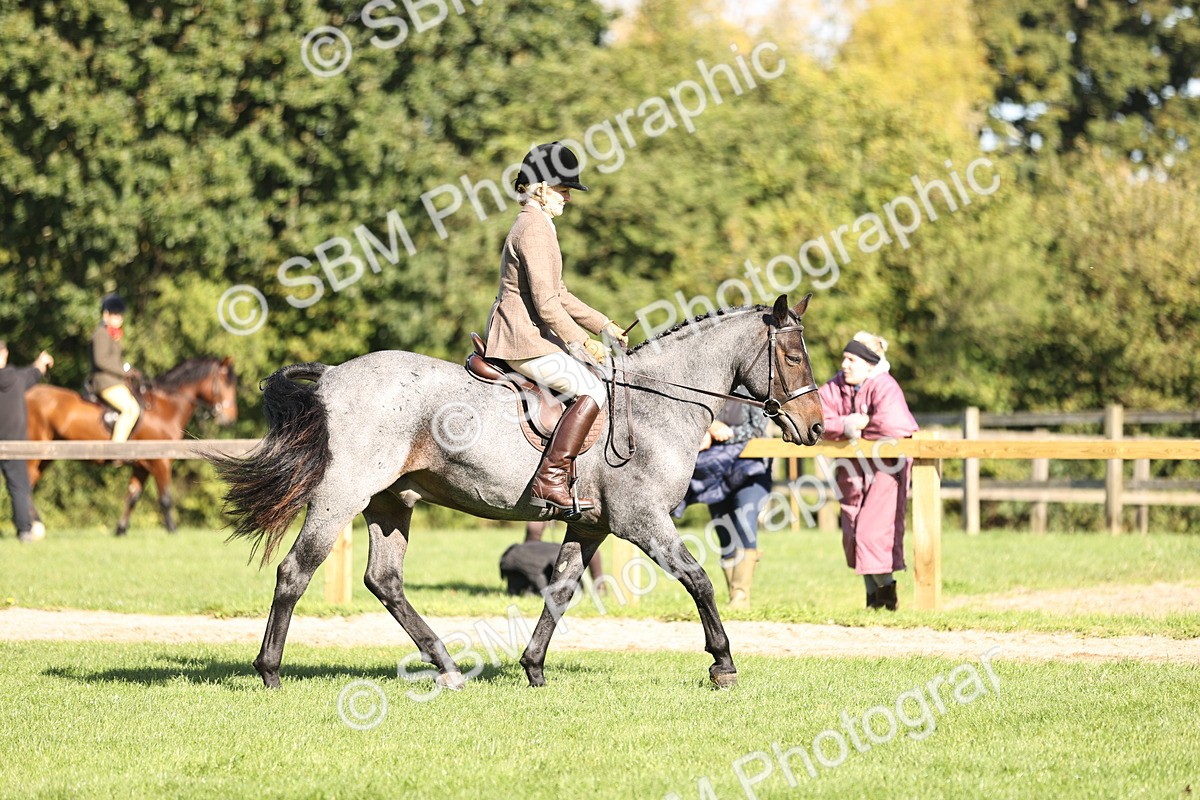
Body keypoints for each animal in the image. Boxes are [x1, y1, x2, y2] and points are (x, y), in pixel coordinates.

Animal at [25, 356, 238, 536]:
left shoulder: (141, 466)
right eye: (226, 383)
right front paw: (172, 531)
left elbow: (133, 497)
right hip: (33, 454)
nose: (230, 419)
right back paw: (34, 527)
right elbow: (165, 499)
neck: (165, 408)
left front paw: (120, 530)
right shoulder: (160, 462)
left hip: (45, 457)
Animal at [213, 295, 824, 690]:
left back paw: (446, 666)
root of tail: (334, 375)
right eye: (794, 357)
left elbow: (561, 589)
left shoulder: (589, 524)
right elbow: (698, 579)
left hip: (392, 502)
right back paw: (269, 672)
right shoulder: (642, 521)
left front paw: (533, 667)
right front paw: (723, 664)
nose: (815, 427)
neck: (655, 405)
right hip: (342, 494)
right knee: (295, 571)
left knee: (384, 581)